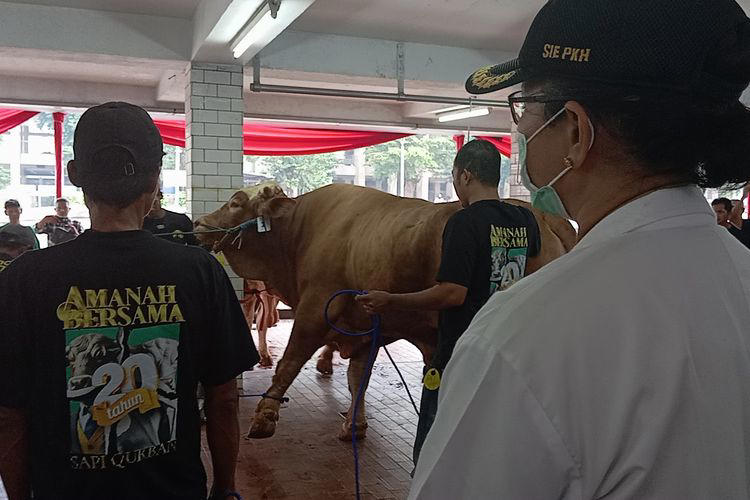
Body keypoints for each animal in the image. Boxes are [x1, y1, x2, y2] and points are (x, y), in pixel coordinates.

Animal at [195, 182, 576, 440]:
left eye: (235, 202)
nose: (199, 223)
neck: (300, 232)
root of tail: (542, 215)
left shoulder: (315, 308)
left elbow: (290, 361)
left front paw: (265, 415)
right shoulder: (364, 329)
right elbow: (357, 379)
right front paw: (354, 424)